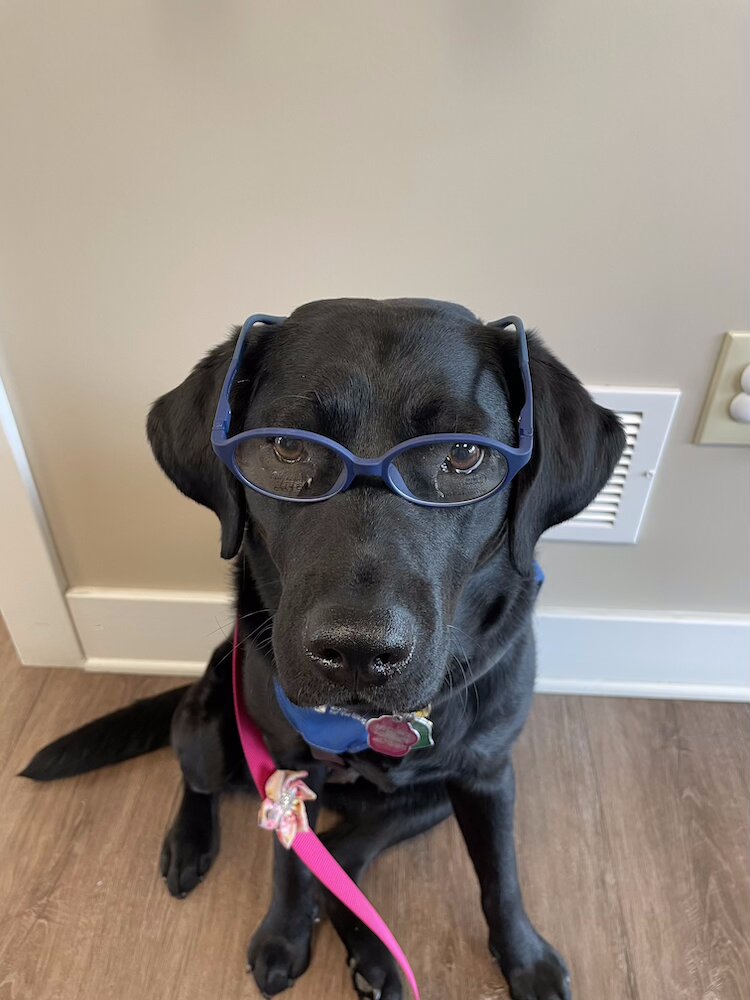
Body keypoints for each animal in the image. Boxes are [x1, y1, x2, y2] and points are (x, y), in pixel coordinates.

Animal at [22, 300, 624, 1000]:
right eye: (287, 446)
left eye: (465, 454)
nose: (359, 651)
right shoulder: (285, 766)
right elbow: (288, 858)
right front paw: (283, 936)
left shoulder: (488, 774)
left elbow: (501, 877)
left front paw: (525, 960)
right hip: (208, 722)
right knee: (200, 781)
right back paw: (191, 843)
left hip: (428, 801)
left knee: (344, 854)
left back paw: (370, 948)